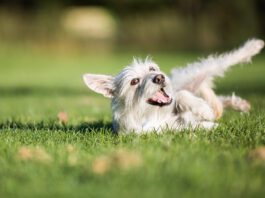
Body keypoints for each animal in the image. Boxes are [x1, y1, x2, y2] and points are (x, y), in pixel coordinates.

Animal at [82, 38, 262, 135]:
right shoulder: (158, 131)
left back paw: (253, 46)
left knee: (224, 61)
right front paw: (210, 124)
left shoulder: (174, 98)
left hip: (196, 74)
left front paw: (203, 110)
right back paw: (237, 104)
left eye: (151, 69)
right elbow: (190, 126)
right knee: (219, 101)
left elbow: (181, 95)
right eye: (134, 81)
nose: (159, 77)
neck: (150, 113)